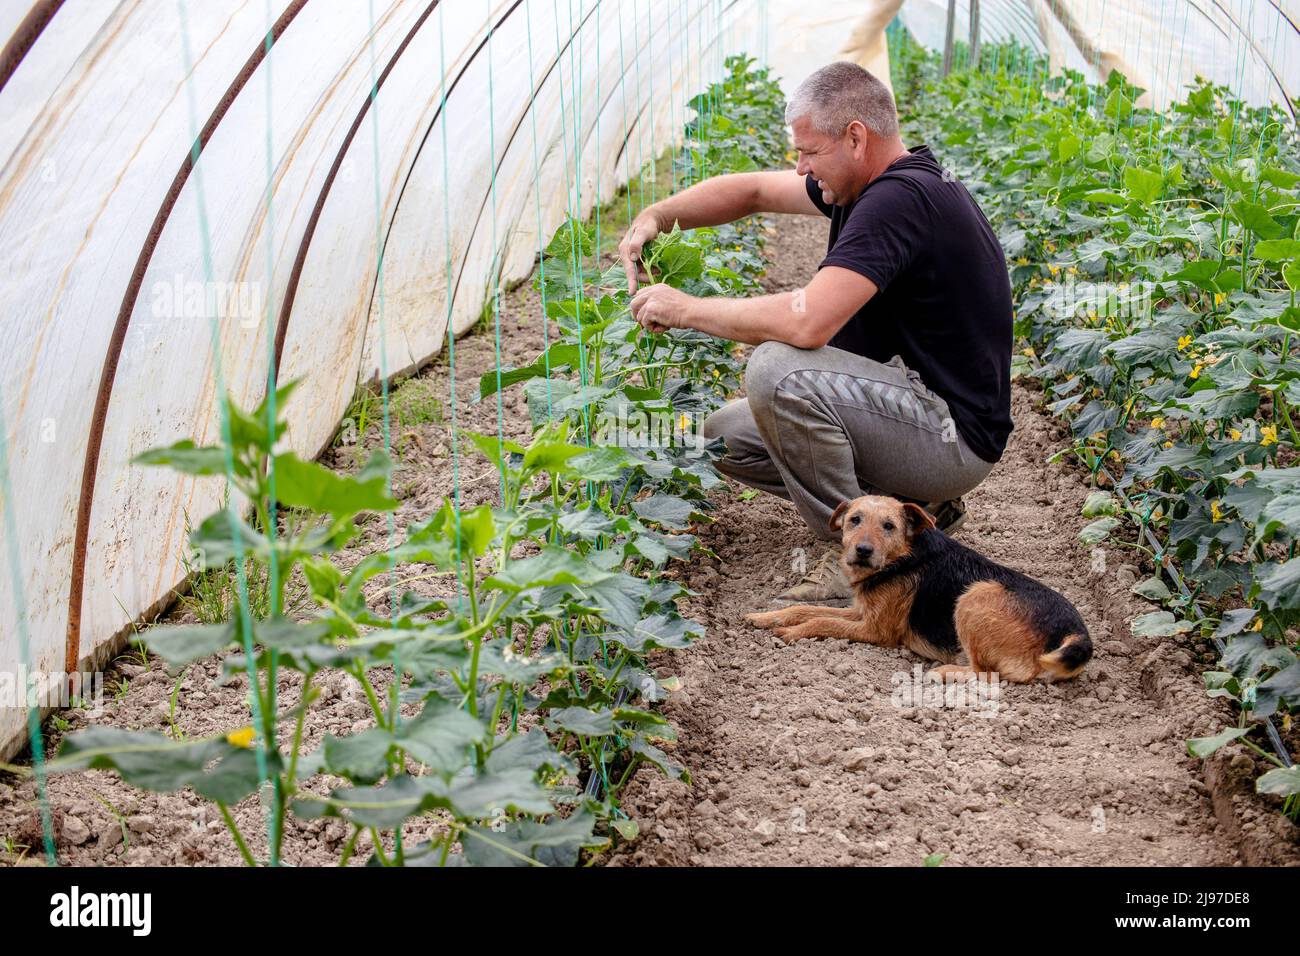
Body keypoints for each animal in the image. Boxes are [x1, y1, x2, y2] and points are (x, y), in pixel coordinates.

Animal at [748, 496, 1092, 686]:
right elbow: (806, 609)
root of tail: (1076, 634)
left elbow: (821, 622)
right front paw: (764, 617)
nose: (862, 551)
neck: (900, 558)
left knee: (986, 673)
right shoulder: (861, 611)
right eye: (854, 520)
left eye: (889, 526)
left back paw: (943, 672)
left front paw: (791, 633)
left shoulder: (876, 631)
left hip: (975, 595)